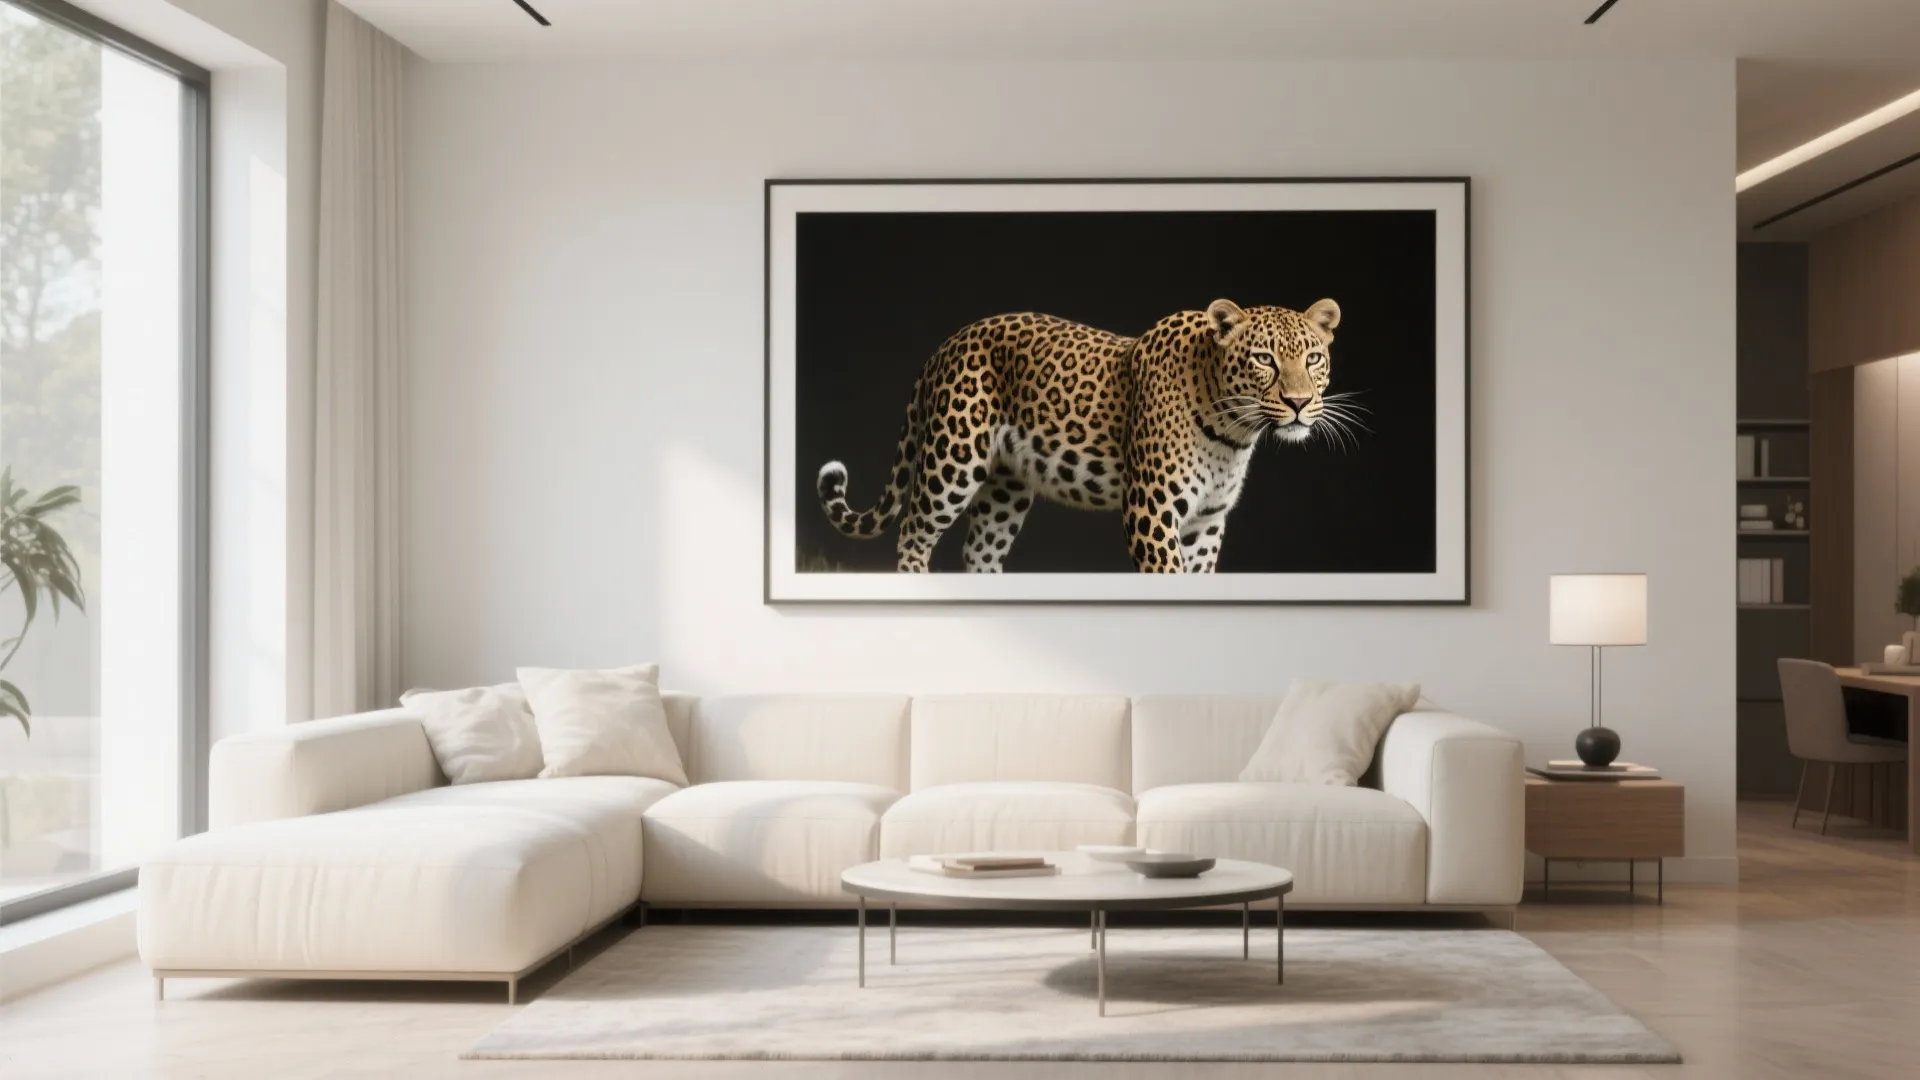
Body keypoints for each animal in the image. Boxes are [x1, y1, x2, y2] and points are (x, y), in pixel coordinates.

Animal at [813, 297, 1350, 573]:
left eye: (1313, 358)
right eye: (1264, 359)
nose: (1299, 402)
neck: (1233, 431)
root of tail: (945, 345)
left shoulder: (1206, 522)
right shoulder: (1151, 511)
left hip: (1005, 489)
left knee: (979, 551)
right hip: (953, 460)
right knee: (912, 533)